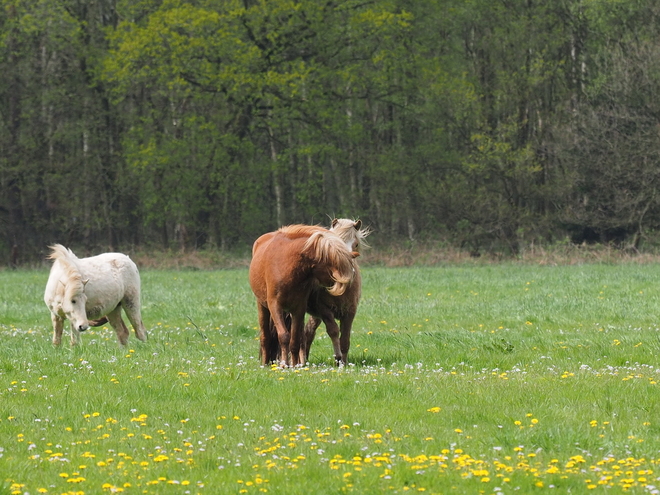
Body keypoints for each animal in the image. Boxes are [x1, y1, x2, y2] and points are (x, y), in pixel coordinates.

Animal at [249, 227, 360, 366]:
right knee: (265, 336)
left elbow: (295, 340)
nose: (351, 279)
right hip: (262, 306)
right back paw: (265, 363)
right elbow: (284, 336)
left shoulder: (298, 309)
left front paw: (294, 365)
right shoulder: (275, 306)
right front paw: (284, 365)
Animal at [302, 219, 368, 366]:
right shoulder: (325, 310)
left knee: (308, 332)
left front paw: (344, 362)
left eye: (355, 244)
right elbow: (333, 331)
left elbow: (345, 338)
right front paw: (338, 359)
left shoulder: (350, 311)